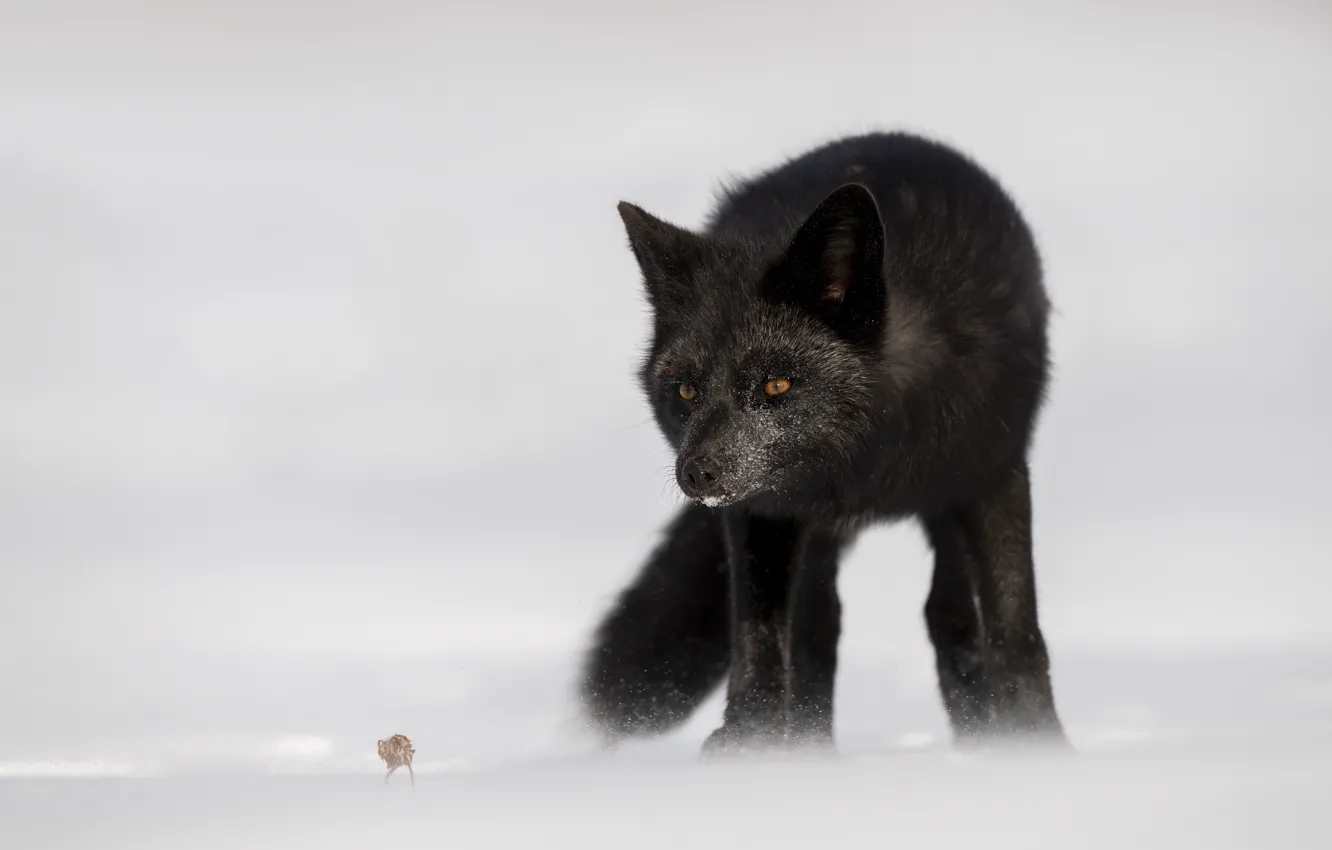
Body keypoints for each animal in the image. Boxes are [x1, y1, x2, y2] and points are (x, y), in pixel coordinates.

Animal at [578, 129, 1065, 756]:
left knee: (949, 614)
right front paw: (749, 744)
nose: (696, 474)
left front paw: (1039, 745)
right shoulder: (762, 511)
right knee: (819, 627)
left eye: (776, 385)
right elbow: (761, 642)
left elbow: (1015, 632)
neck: (873, 461)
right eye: (685, 390)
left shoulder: (993, 473)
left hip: (946, 501)